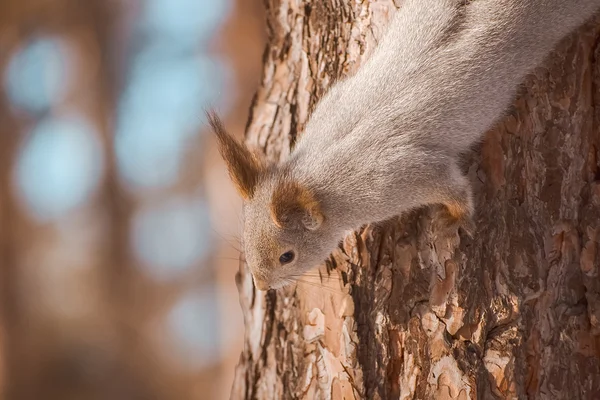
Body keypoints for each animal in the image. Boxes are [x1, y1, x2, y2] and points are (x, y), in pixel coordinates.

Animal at [209, 0, 600, 290]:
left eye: (286, 256)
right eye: (245, 240)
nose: (262, 286)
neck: (319, 171)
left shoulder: (396, 177)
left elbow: (452, 186)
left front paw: (454, 218)